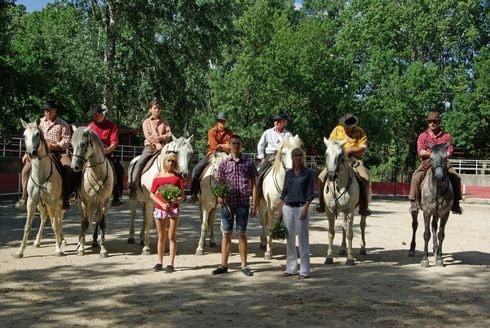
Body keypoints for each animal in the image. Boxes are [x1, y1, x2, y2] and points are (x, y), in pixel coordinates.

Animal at [15, 119, 65, 258]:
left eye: (37, 134)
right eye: (24, 135)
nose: (31, 153)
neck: (41, 176)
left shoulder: (54, 202)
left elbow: (55, 224)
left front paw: (58, 249)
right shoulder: (32, 202)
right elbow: (27, 225)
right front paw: (20, 250)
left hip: (59, 204)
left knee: (58, 220)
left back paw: (62, 240)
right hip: (42, 205)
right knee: (44, 218)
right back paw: (38, 241)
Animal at [70, 127, 114, 258]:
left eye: (83, 143)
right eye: (72, 144)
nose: (74, 166)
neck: (97, 174)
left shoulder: (105, 201)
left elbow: (101, 223)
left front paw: (103, 249)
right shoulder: (86, 201)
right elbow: (84, 223)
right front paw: (81, 248)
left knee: (97, 219)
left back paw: (94, 241)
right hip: (82, 204)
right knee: (83, 220)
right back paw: (80, 242)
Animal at [322, 137, 364, 266]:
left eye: (340, 155)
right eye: (326, 154)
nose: (331, 176)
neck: (339, 185)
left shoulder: (350, 210)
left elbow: (350, 234)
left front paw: (350, 259)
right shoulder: (330, 211)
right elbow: (331, 233)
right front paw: (329, 257)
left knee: (362, 225)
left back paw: (363, 248)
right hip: (341, 212)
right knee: (344, 226)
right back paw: (342, 249)